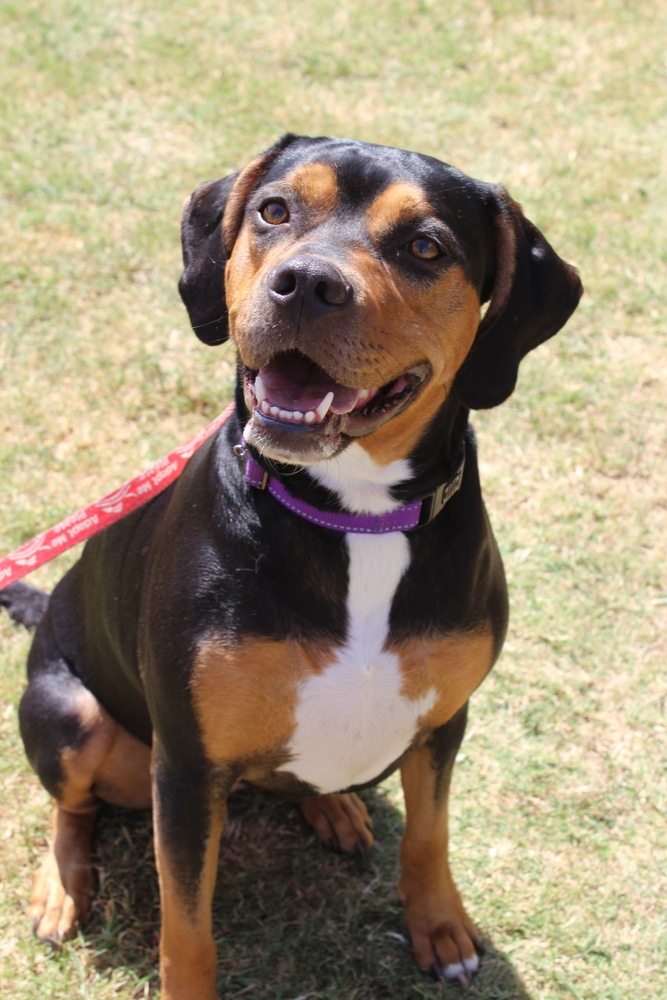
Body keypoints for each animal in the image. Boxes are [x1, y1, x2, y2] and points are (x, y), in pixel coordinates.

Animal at [2, 135, 580, 1000]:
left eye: (426, 247)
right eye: (274, 210)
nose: (306, 283)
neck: (355, 511)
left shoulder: (443, 720)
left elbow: (429, 835)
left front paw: (440, 928)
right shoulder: (187, 767)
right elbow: (186, 926)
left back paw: (334, 809)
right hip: (71, 714)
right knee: (72, 807)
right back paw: (61, 886)